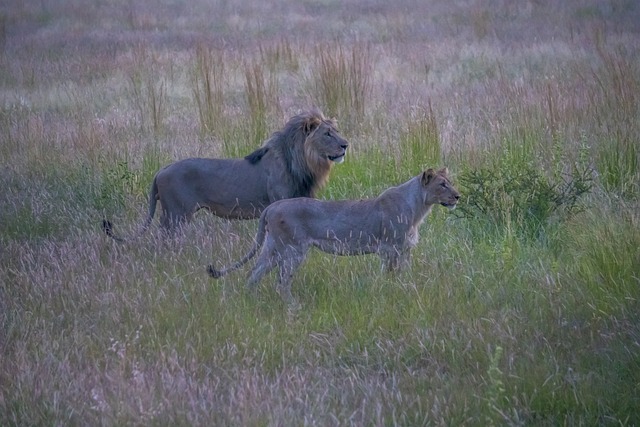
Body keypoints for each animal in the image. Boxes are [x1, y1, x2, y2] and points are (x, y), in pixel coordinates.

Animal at [102, 108, 348, 242]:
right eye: (327, 134)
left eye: (337, 131)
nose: (346, 144)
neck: (304, 162)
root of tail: (160, 170)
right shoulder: (280, 203)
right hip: (176, 215)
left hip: (171, 215)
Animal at [210, 166, 460, 304]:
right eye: (442, 185)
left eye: (450, 183)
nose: (457, 196)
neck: (419, 208)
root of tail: (272, 206)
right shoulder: (390, 248)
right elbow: (390, 274)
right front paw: (392, 292)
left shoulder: (404, 249)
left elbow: (404, 274)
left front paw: (406, 290)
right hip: (293, 250)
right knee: (281, 282)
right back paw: (294, 307)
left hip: (273, 248)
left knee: (254, 274)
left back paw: (250, 301)